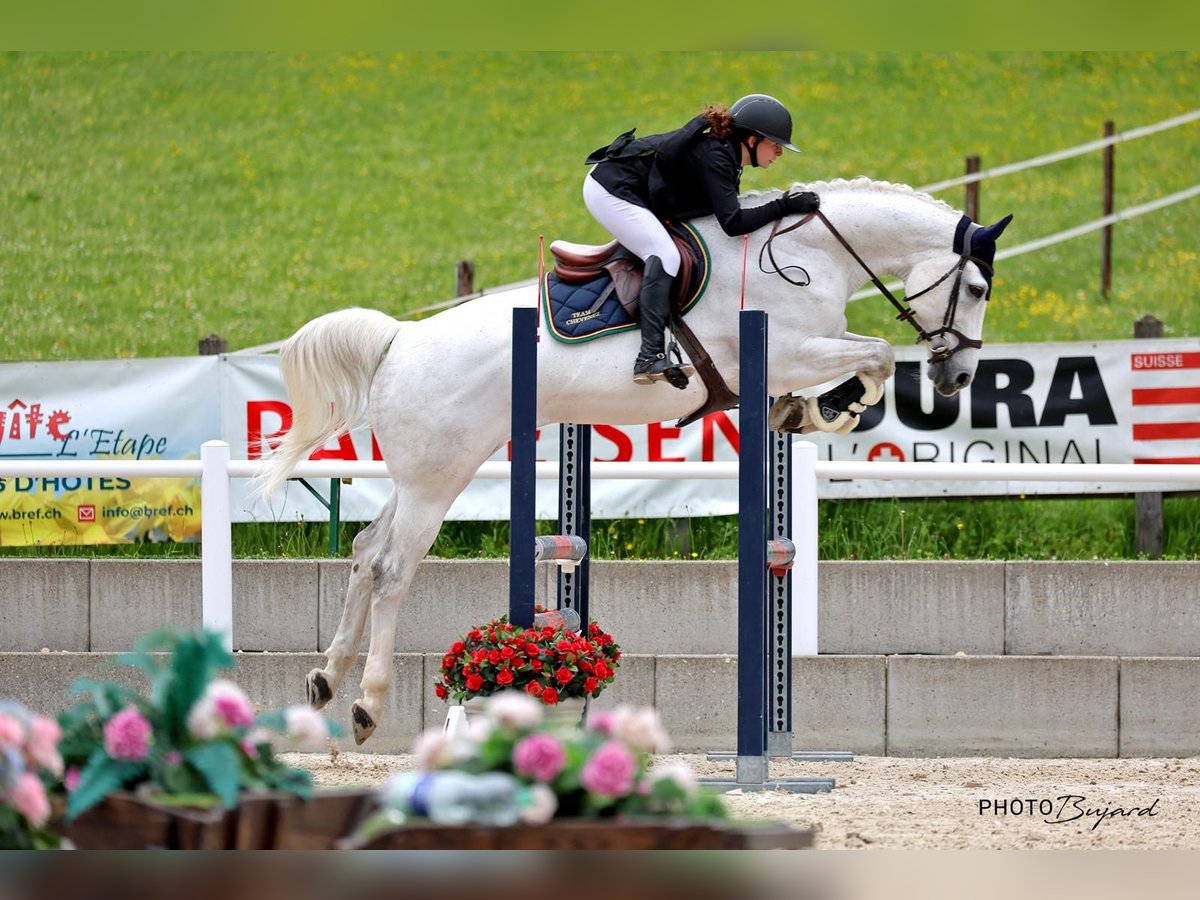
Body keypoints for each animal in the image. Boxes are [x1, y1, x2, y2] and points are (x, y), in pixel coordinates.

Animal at [259, 177, 1013, 744]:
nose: (957, 377)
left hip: (427, 473)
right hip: (437, 478)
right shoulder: (790, 349)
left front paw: (808, 412)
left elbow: (864, 361)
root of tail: (398, 340)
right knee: (392, 569)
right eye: (977, 290)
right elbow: (878, 355)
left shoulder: (795, 354)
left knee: (364, 550)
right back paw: (367, 703)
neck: (807, 253)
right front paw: (834, 404)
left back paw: (326, 680)